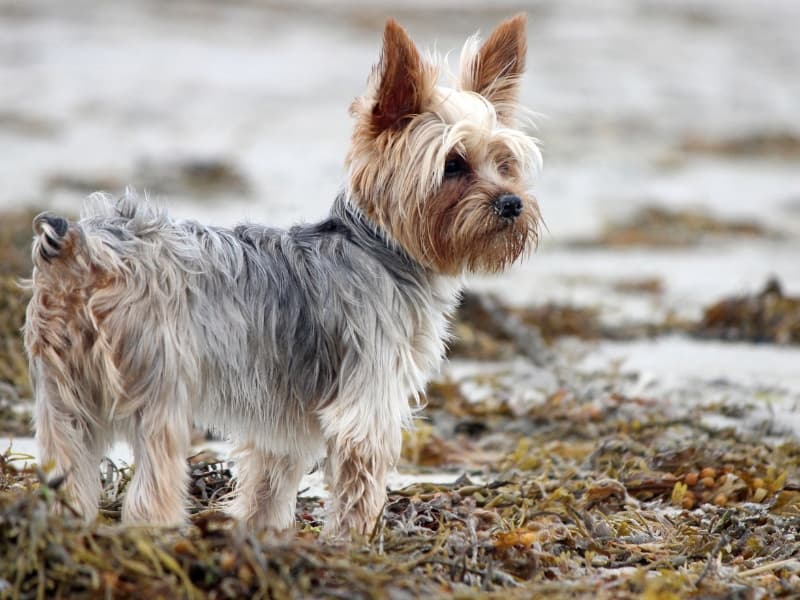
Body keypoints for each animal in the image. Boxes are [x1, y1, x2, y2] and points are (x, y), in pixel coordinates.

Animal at [23, 15, 544, 540]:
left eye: (504, 163)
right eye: (453, 164)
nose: (511, 203)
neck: (380, 247)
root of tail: (82, 246)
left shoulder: (284, 421)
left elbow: (268, 484)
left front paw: (263, 534)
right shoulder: (367, 400)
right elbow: (359, 483)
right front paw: (355, 542)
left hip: (62, 395)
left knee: (67, 466)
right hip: (159, 383)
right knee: (153, 483)